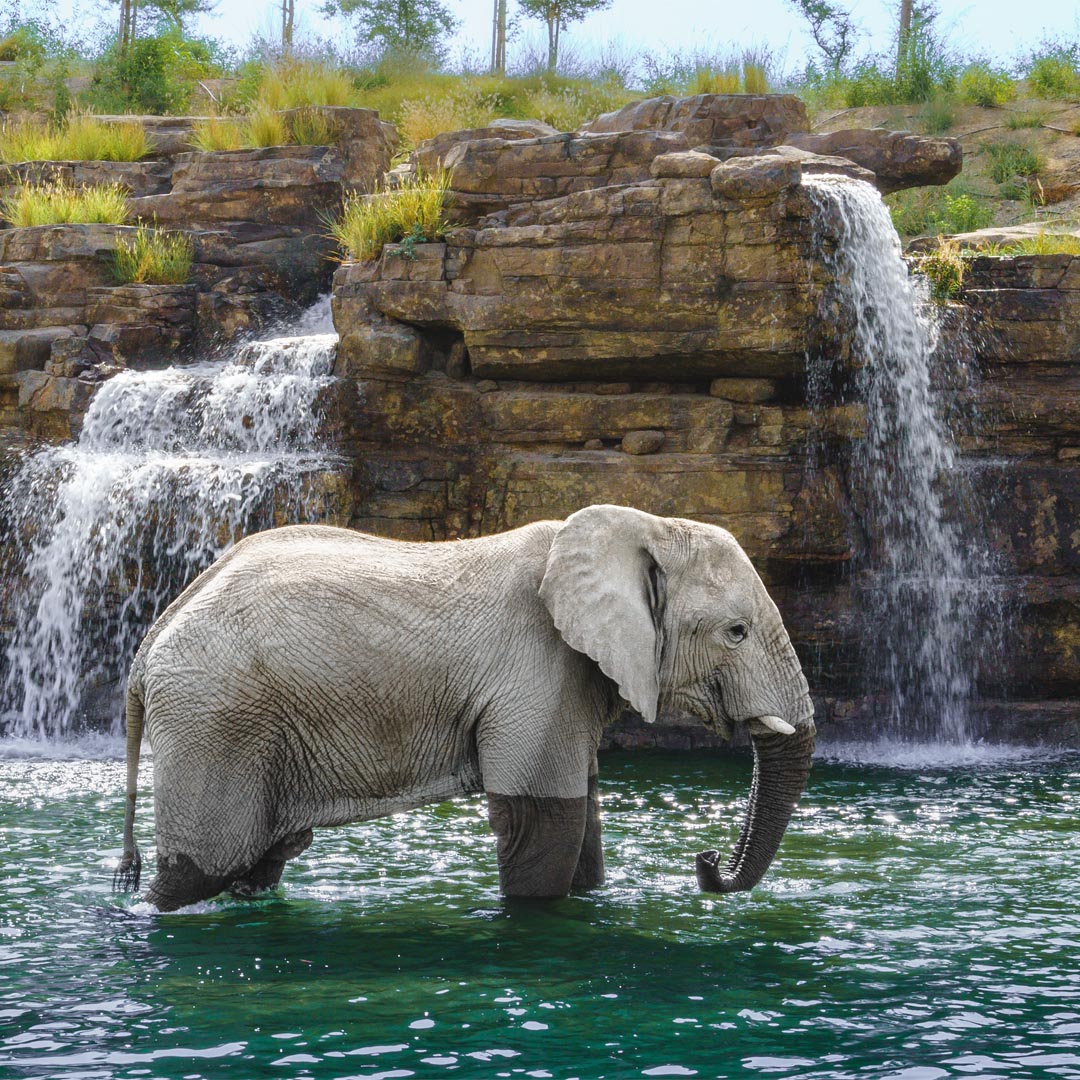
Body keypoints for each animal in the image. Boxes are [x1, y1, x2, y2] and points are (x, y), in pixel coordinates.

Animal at [113, 504, 815, 911]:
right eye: (737, 633)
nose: (706, 863)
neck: (638, 526)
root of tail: (147, 649)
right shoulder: (537, 668)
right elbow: (543, 826)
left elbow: (581, 826)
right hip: (214, 720)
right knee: (201, 870)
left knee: (257, 862)